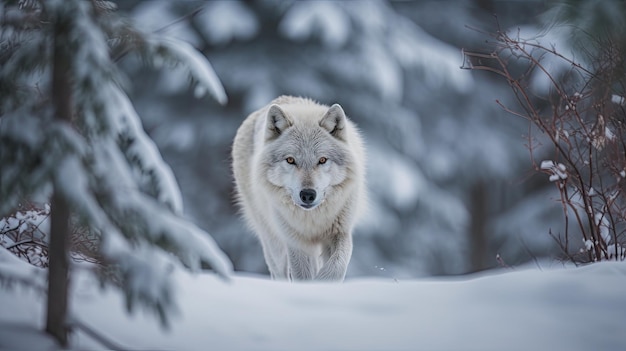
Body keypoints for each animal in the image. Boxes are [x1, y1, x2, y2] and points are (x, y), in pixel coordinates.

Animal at [232, 95, 364, 282]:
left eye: (322, 160)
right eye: (290, 160)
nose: (307, 195)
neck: (312, 219)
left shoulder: (341, 232)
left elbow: (336, 267)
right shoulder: (296, 242)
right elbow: (303, 276)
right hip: (273, 240)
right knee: (279, 272)